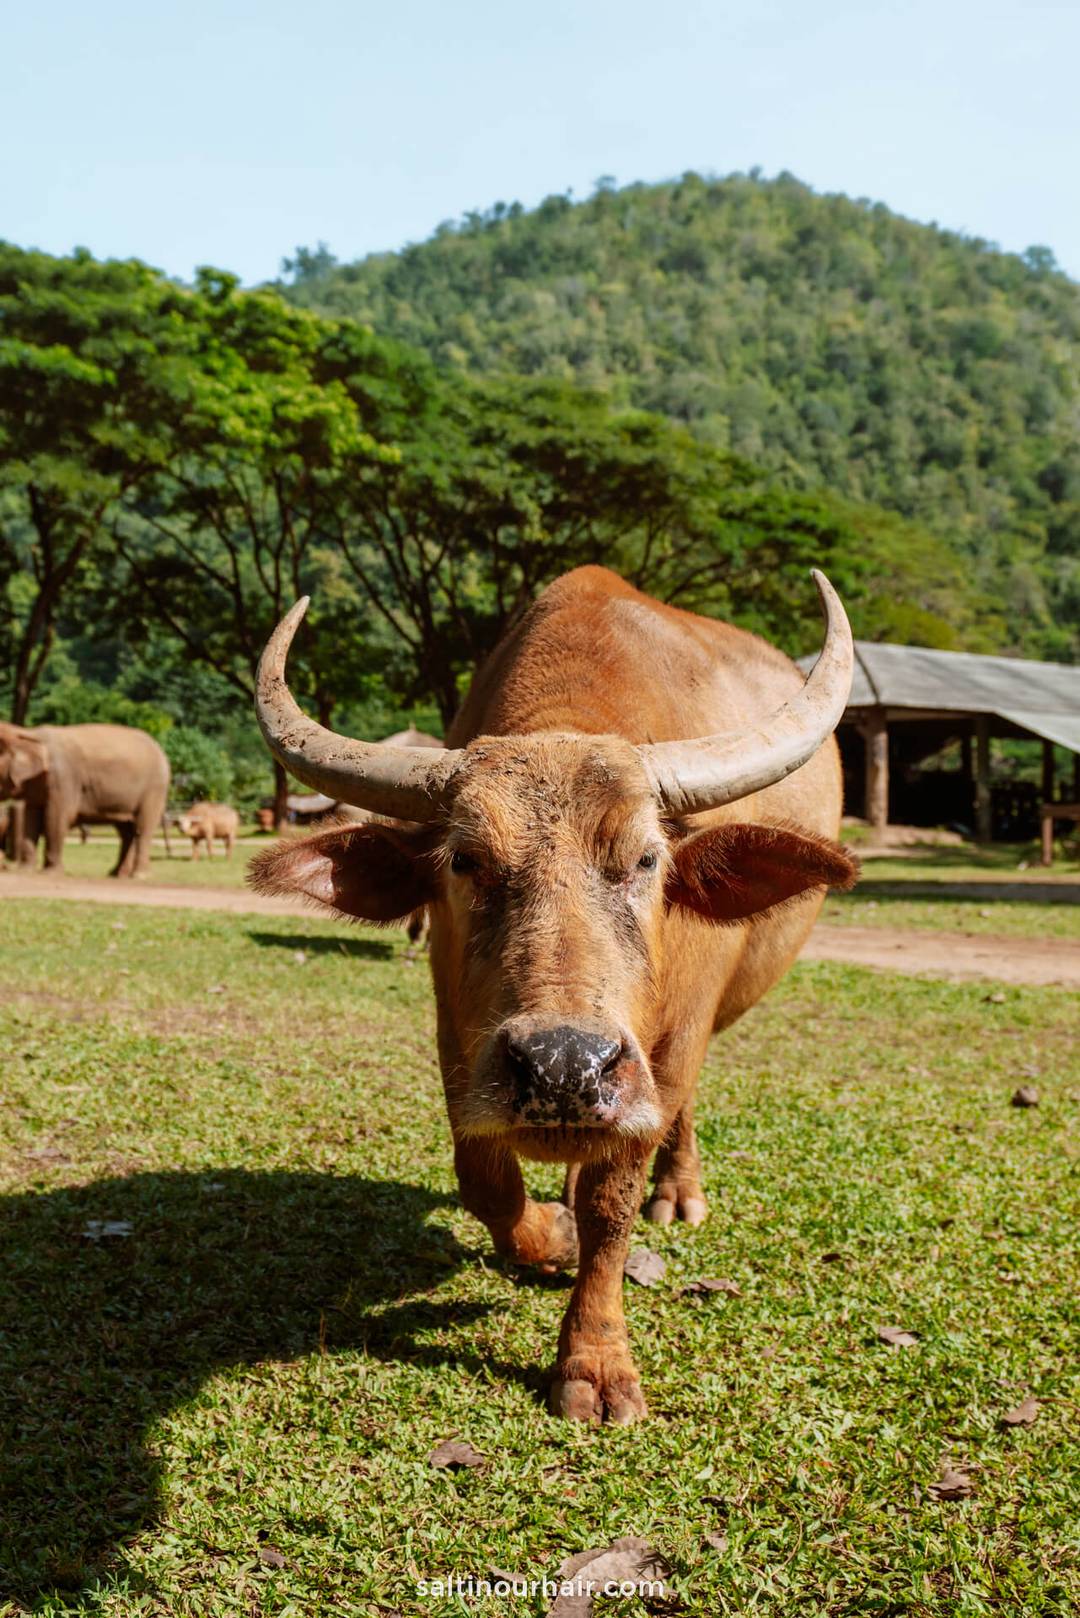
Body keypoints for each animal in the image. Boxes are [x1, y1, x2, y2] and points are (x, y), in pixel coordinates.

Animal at [0, 722, 170, 878]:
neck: (29, 733)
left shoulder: (64, 777)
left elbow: (56, 818)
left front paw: (50, 874)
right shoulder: (35, 784)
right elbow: (31, 819)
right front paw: (24, 871)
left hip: (154, 788)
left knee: (142, 828)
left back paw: (139, 875)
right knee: (126, 831)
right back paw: (116, 874)